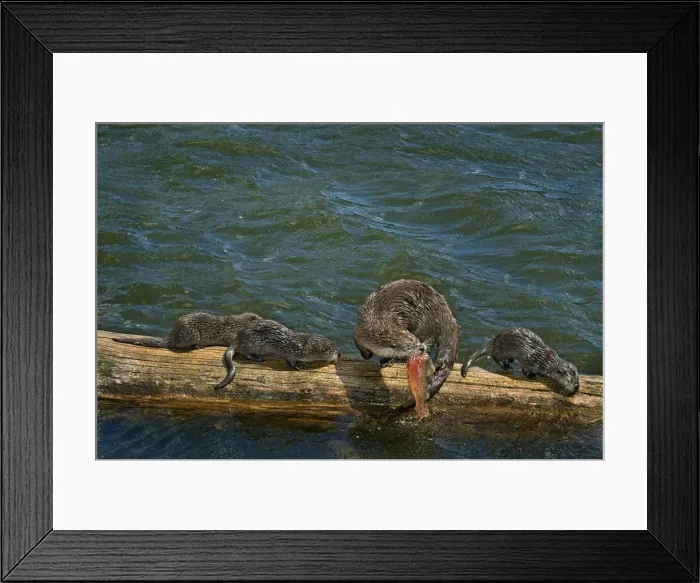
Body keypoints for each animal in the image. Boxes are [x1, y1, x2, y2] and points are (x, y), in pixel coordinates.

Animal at [353, 279, 460, 412]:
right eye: (409, 346)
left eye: (415, 340)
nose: (421, 347)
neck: (376, 318)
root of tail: (444, 311)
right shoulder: (359, 333)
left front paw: (390, 360)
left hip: (424, 324)